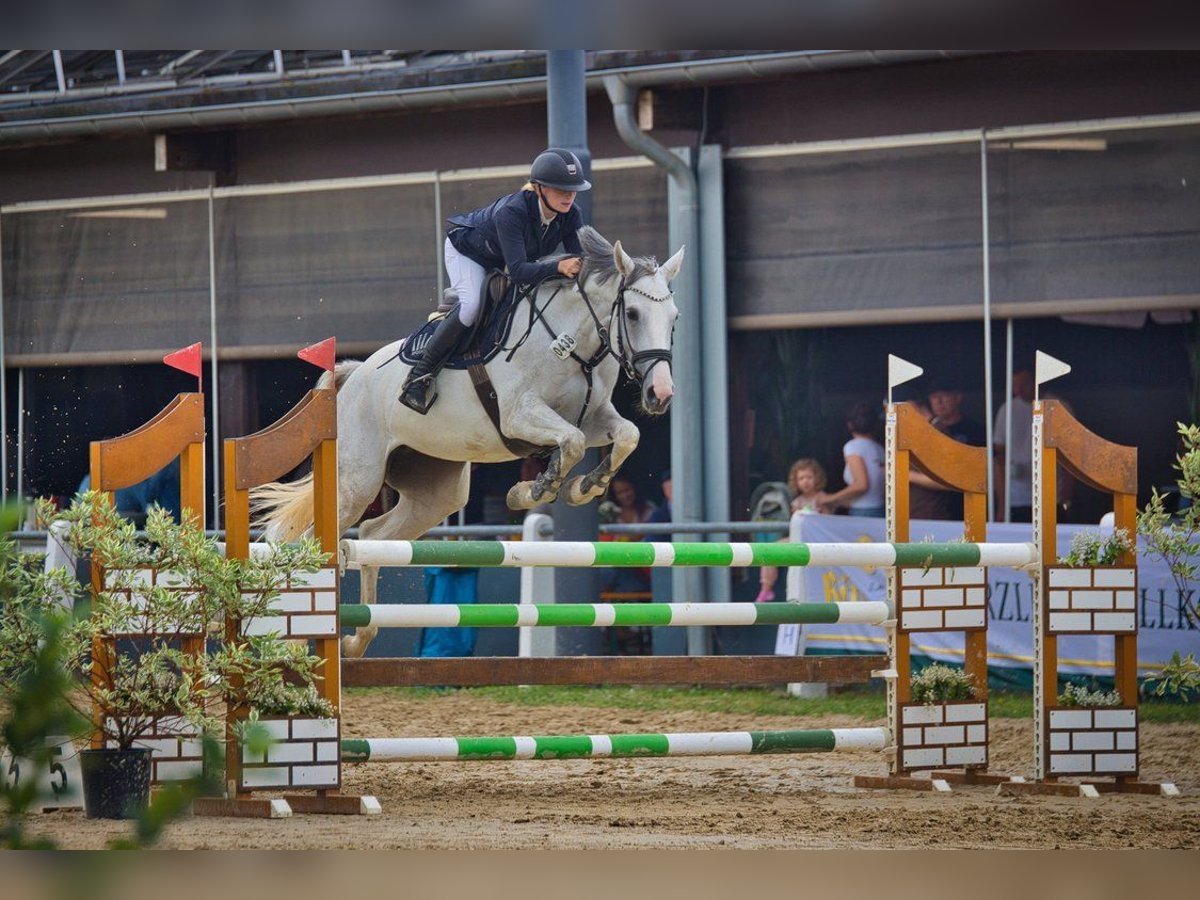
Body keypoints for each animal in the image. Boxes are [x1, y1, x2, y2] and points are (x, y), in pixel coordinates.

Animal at [256, 226, 681, 657]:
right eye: (632, 314)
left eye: (675, 319)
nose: (660, 394)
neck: (576, 344)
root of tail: (354, 375)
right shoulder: (519, 414)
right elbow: (573, 441)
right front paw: (535, 490)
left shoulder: (593, 417)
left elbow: (626, 435)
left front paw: (584, 486)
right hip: (356, 483)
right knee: (311, 543)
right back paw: (294, 648)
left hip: (435, 493)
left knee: (374, 535)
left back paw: (356, 641)